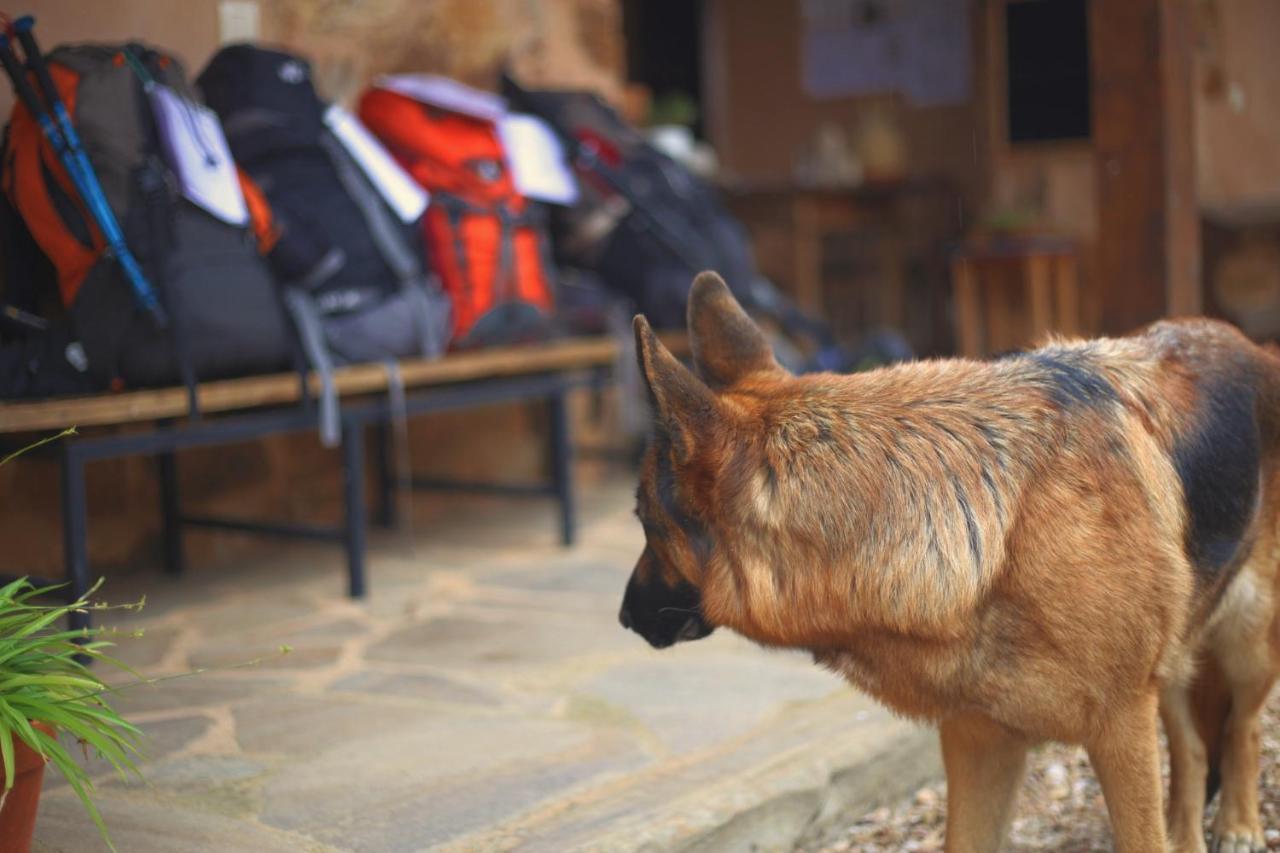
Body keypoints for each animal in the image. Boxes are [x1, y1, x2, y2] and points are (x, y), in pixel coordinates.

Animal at [616, 274, 1280, 850]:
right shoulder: (979, 741)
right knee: (1193, 751)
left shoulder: (1121, 733)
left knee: (1242, 728)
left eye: (642, 518)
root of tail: (1251, 344)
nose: (621, 618)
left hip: (1247, 644)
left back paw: (1240, 824)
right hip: (1176, 660)